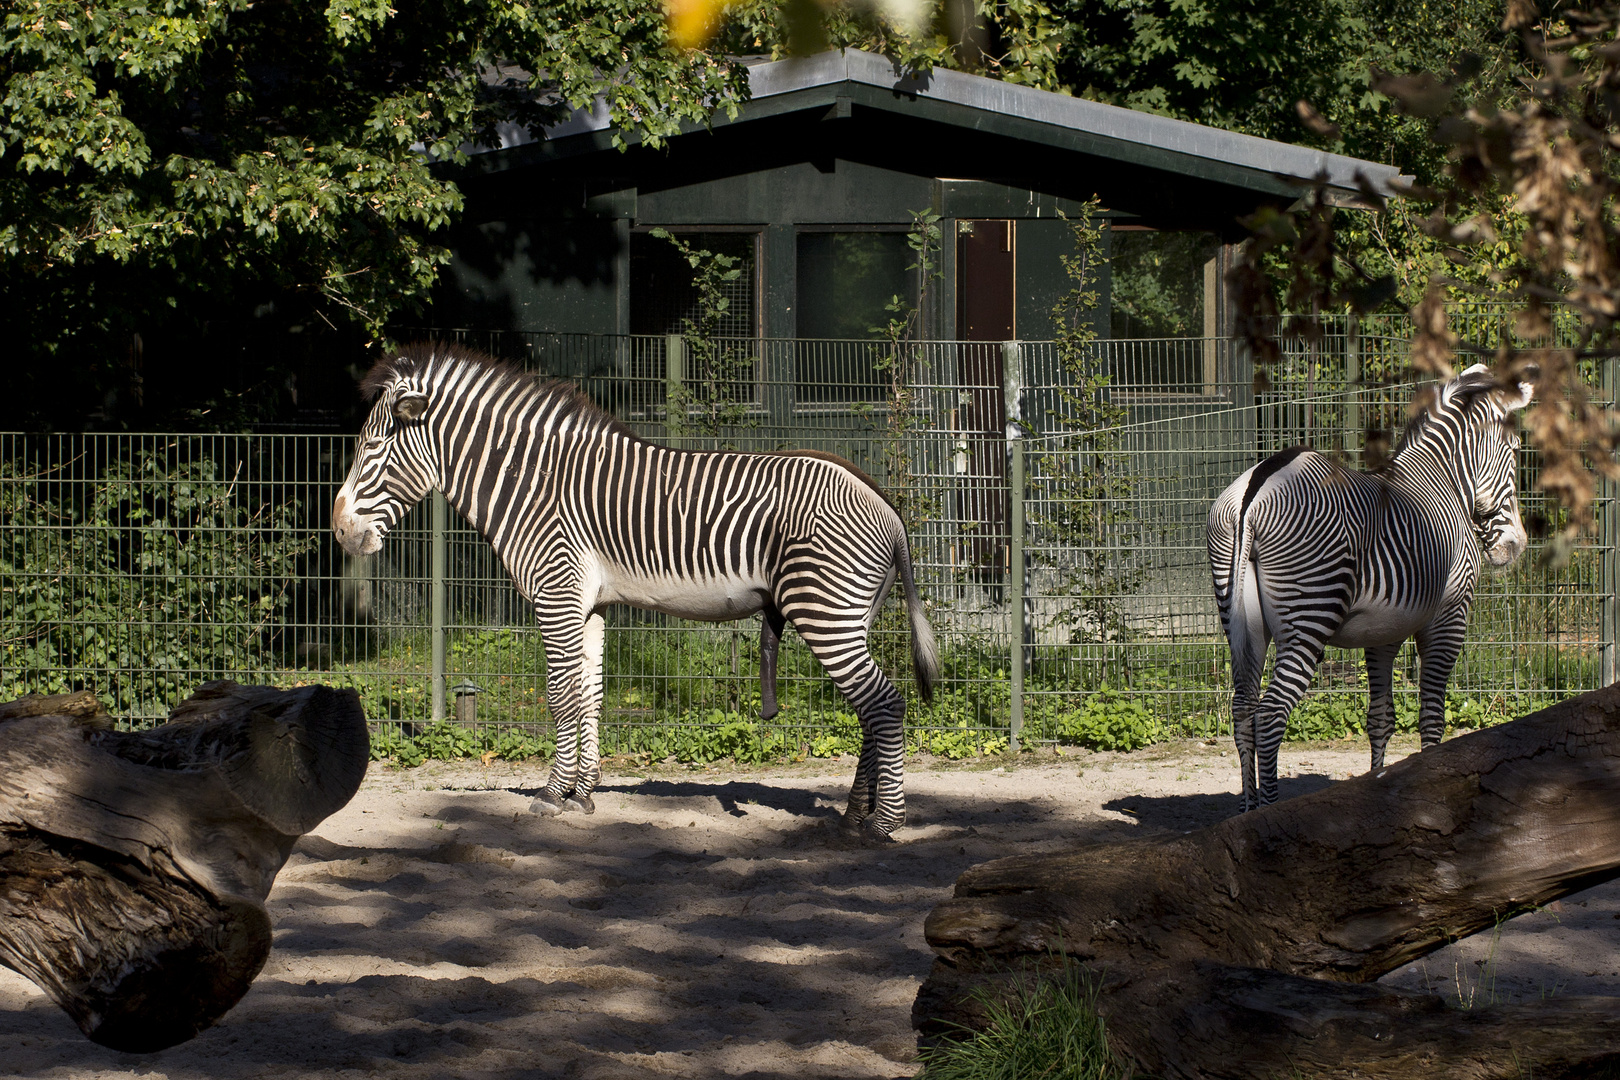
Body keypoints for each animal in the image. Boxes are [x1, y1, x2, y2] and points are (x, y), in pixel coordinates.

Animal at [332, 341, 939, 841]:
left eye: (374, 450)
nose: (338, 530)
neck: (534, 485)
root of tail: (885, 505)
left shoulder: (555, 593)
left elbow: (560, 696)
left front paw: (551, 794)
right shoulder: (588, 604)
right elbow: (589, 694)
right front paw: (583, 792)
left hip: (825, 613)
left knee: (885, 703)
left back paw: (884, 824)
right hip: (849, 616)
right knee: (870, 710)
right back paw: (853, 815)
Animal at [1211, 365, 1535, 809]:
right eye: (1516, 449)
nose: (1516, 546)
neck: (1443, 482)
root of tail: (1255, 490)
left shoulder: (1383, 634)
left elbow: (1381, 718)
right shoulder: (1448, 619)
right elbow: (1431, 716)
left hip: (1241, 620)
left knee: (1243, 710)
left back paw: (1245, 813)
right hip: (1308, 617)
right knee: (1271, 715)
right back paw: (1268, 813)